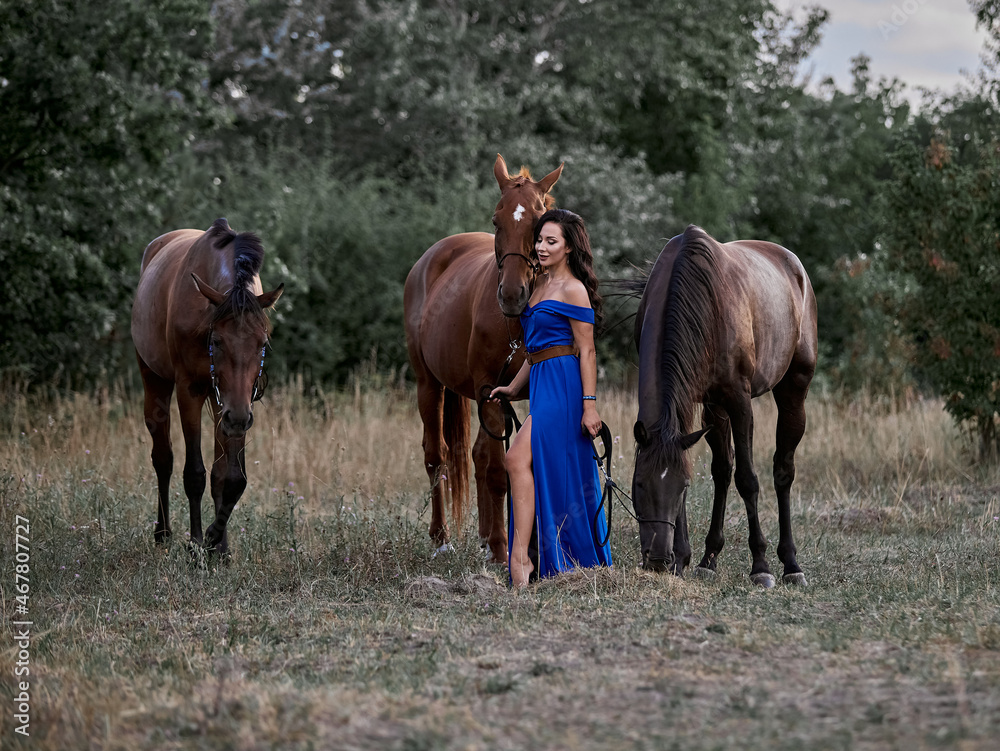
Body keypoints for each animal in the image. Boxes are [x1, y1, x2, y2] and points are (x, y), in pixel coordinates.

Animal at [131, 219, 284, 560]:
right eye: (216, 341)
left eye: (262, 343)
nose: (238, 416)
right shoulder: (190, 390)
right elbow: (195, 474)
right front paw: (197, 544)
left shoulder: (233, 406)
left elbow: (229, 477)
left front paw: (219, 545)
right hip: (154, 380)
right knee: (163, 458)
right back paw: (163, 533)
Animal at [404, 154, 564, 564]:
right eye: (496, 220)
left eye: (539, 220)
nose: (512, 294)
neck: (519, 323)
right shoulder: (489, 392)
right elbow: (496, 472)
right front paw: (502, 546)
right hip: (430, 385)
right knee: (438, 455)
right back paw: (442, 538)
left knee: (475, 455)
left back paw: (481, 537)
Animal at [632, 223, 820, 588]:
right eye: (639, 484)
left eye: (681, 487)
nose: (658, 559)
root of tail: (796, 266)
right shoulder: (697, 403)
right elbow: (715, 468)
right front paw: (684, 559)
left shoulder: (739, 401)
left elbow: (748, 480)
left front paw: (760, 566)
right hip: (714, 408)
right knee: (722, 470)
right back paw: (709, 558)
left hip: (793, 390)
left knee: (782, 471)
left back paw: (791, 564)